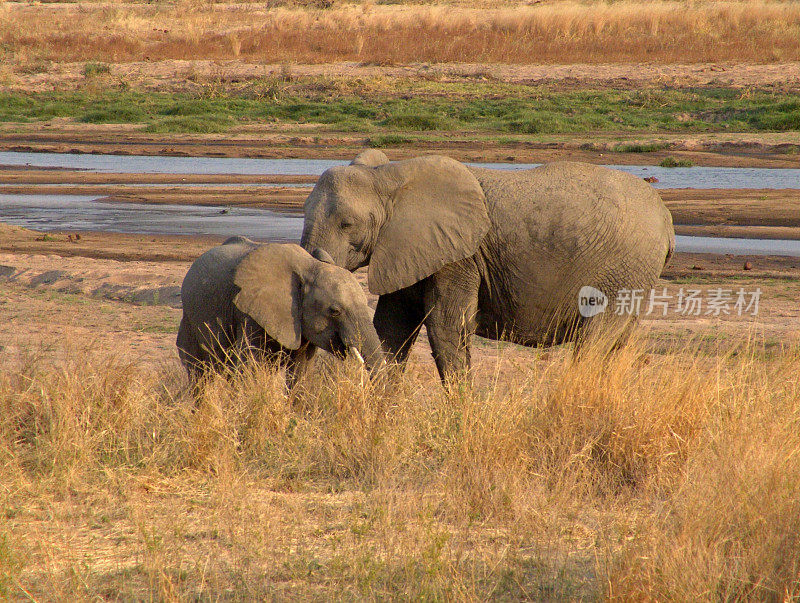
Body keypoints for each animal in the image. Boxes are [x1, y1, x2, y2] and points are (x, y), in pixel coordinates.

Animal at [302, 151, 676, 382]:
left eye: (347, 225)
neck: (389, 178)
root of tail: (667, 220)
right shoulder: (405, 248)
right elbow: (392, 327)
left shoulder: (458, 258)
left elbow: (446, 326)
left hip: (623, 271)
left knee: (594, 343)